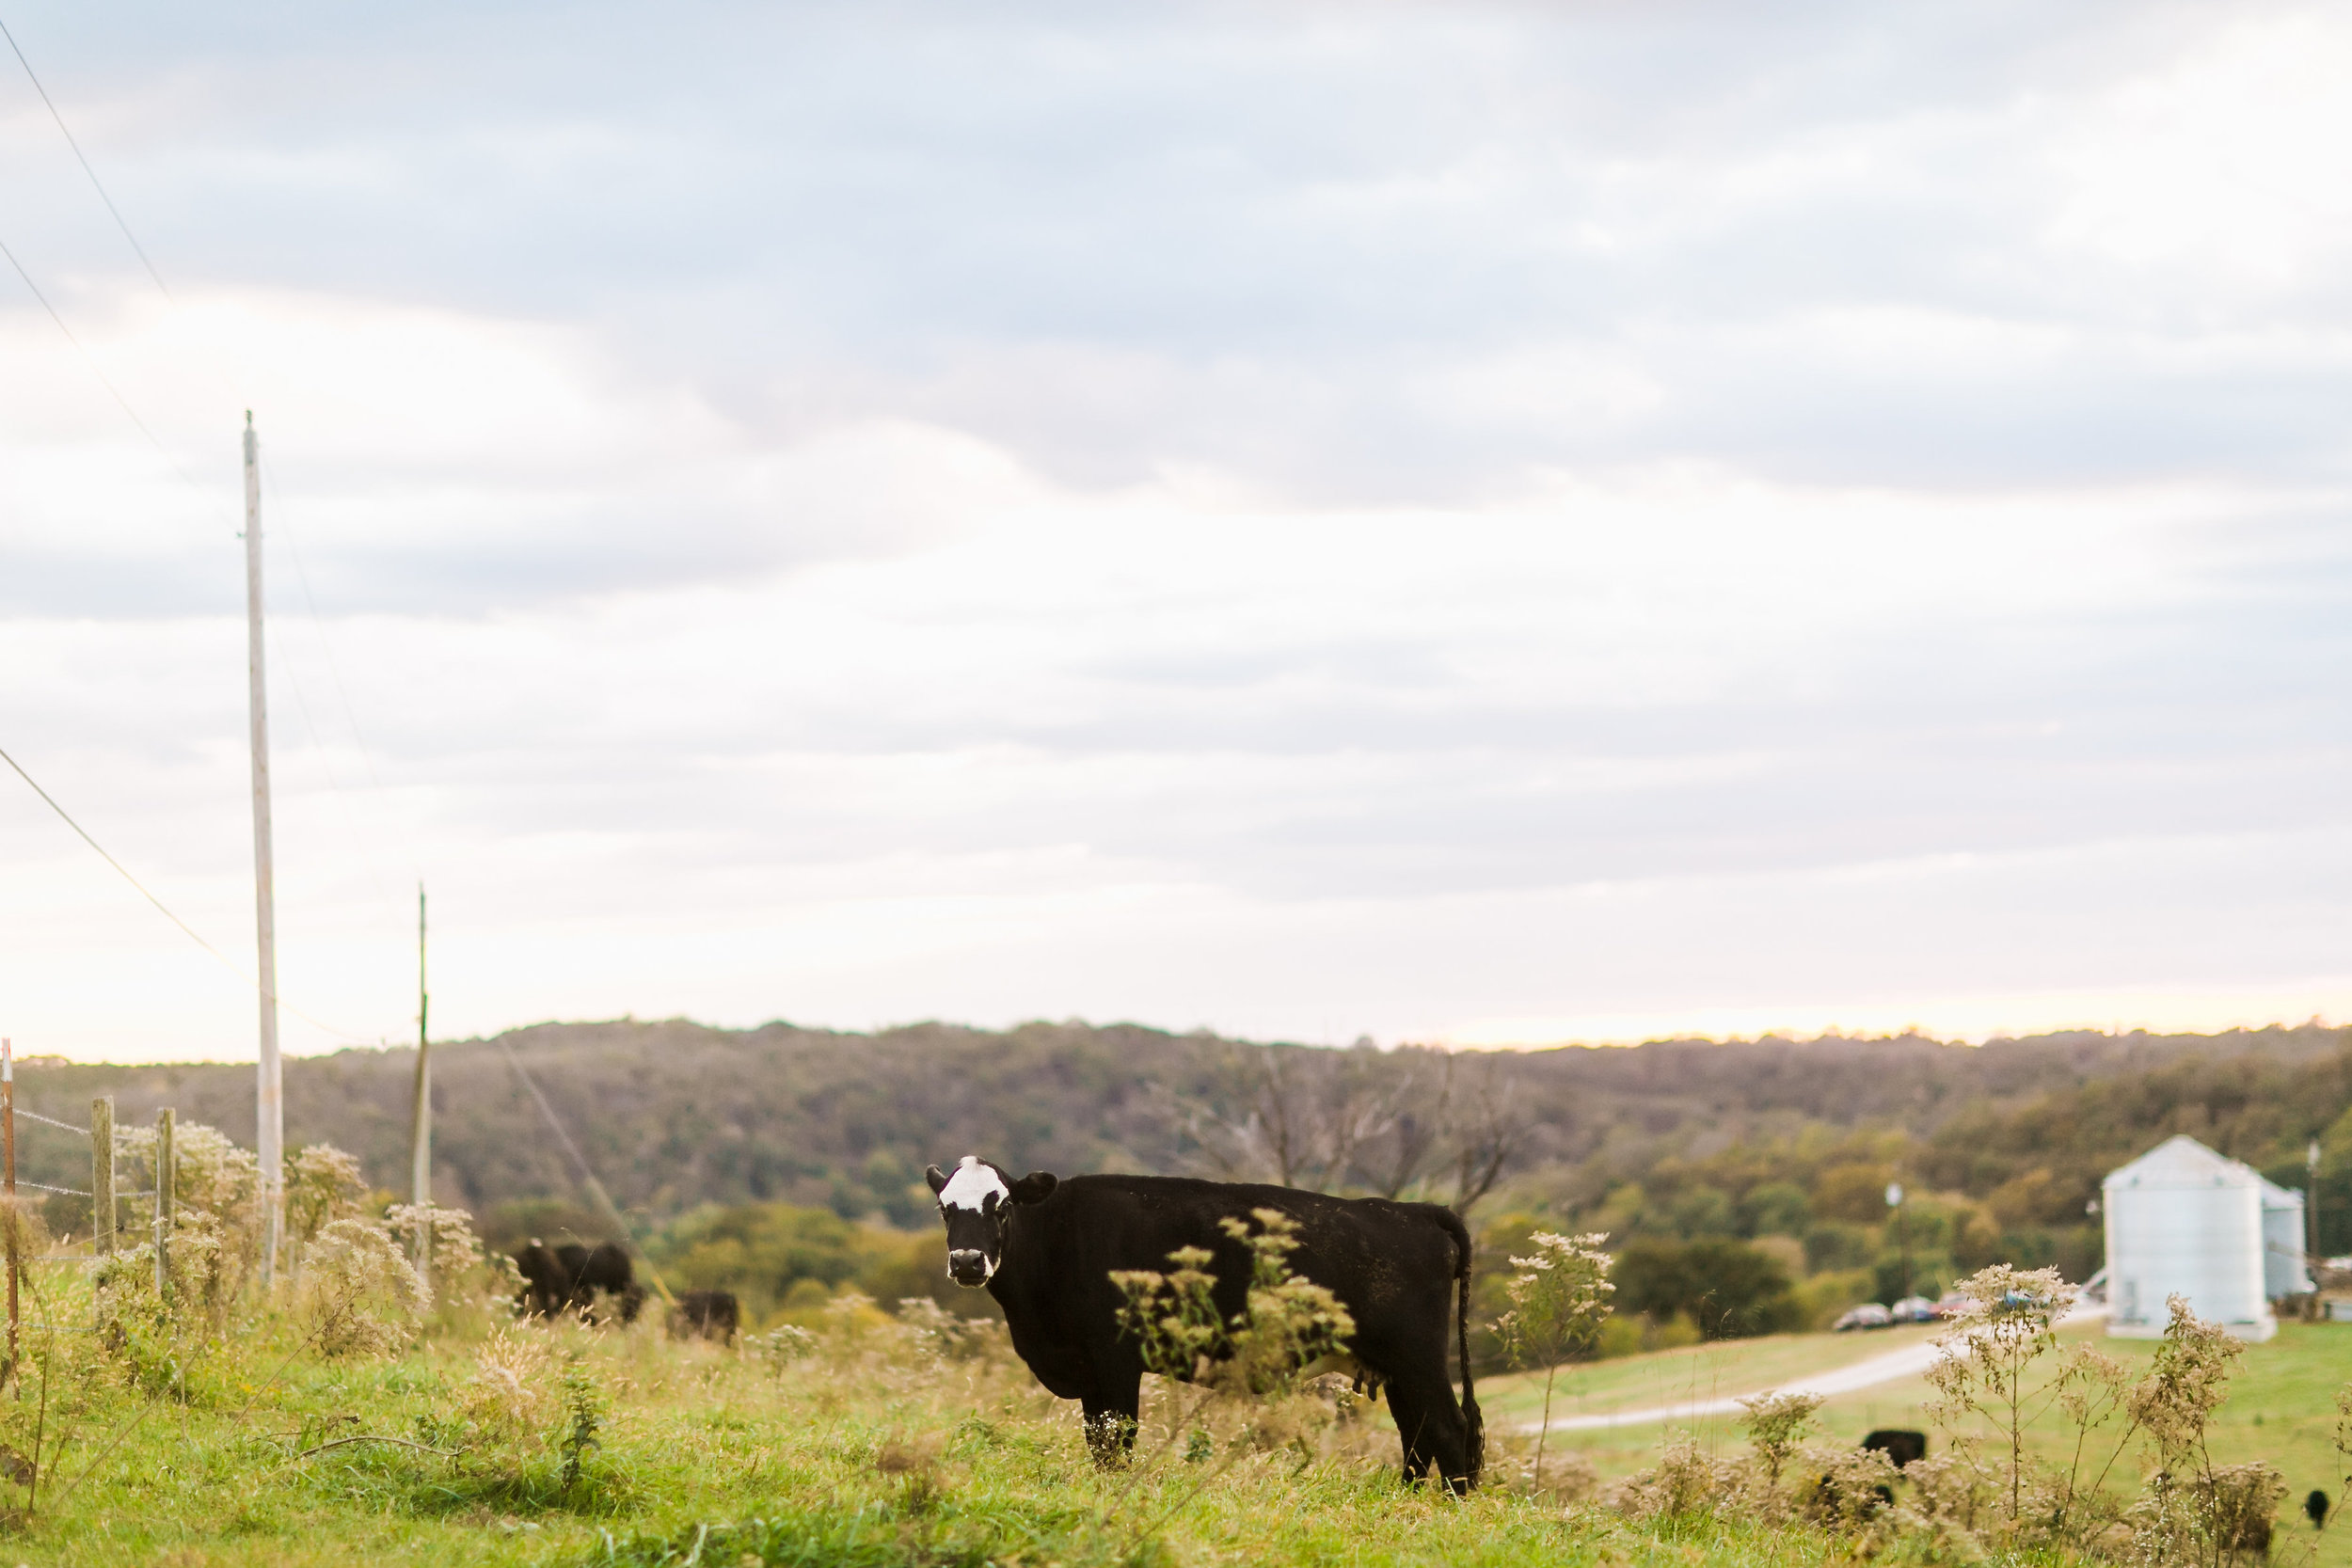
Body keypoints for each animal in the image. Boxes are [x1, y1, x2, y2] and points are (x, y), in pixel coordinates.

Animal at [927, 1151, 1477, 1495]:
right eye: (944, 1209)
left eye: (1003, 1205)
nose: (968, 1261)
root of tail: (1414, 1210)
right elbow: (1097, 1441)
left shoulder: (1116, 1361)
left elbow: (1117, 1443)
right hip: (1396, 1369)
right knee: (1417, 1436)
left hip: (1419, 1359)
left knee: (1450, 1431)